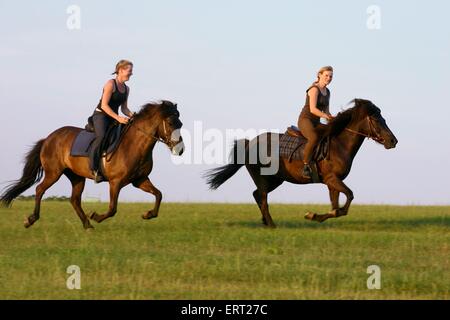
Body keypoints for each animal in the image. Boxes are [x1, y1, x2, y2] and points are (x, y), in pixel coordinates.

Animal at [0, 100, 184, 228]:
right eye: (170, 123)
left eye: (180, 124)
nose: (180, 149)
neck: (134, 145)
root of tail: (48, 138)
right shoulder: (115, 182)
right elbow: (112, 208)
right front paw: (95, 216)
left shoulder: (139, 180)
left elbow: (159, 195)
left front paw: (148, 214)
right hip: (53, 173)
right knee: (40, 190)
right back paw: (31, 219)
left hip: (76, 176)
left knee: (74, 200)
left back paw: (87, 225)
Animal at [204, 99, 398, 226]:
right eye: (376, 119)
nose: (393, 141)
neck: (339, 144)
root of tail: (249, 143)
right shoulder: (332, 179)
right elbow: (349, 197)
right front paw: (312, 215)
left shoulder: (331, 182)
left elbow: (336, 207)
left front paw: (316, 216)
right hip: (264, 178)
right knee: (262, 198)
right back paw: (272, 225)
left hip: (275, 180)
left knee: (257, 195)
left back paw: (266, 222)